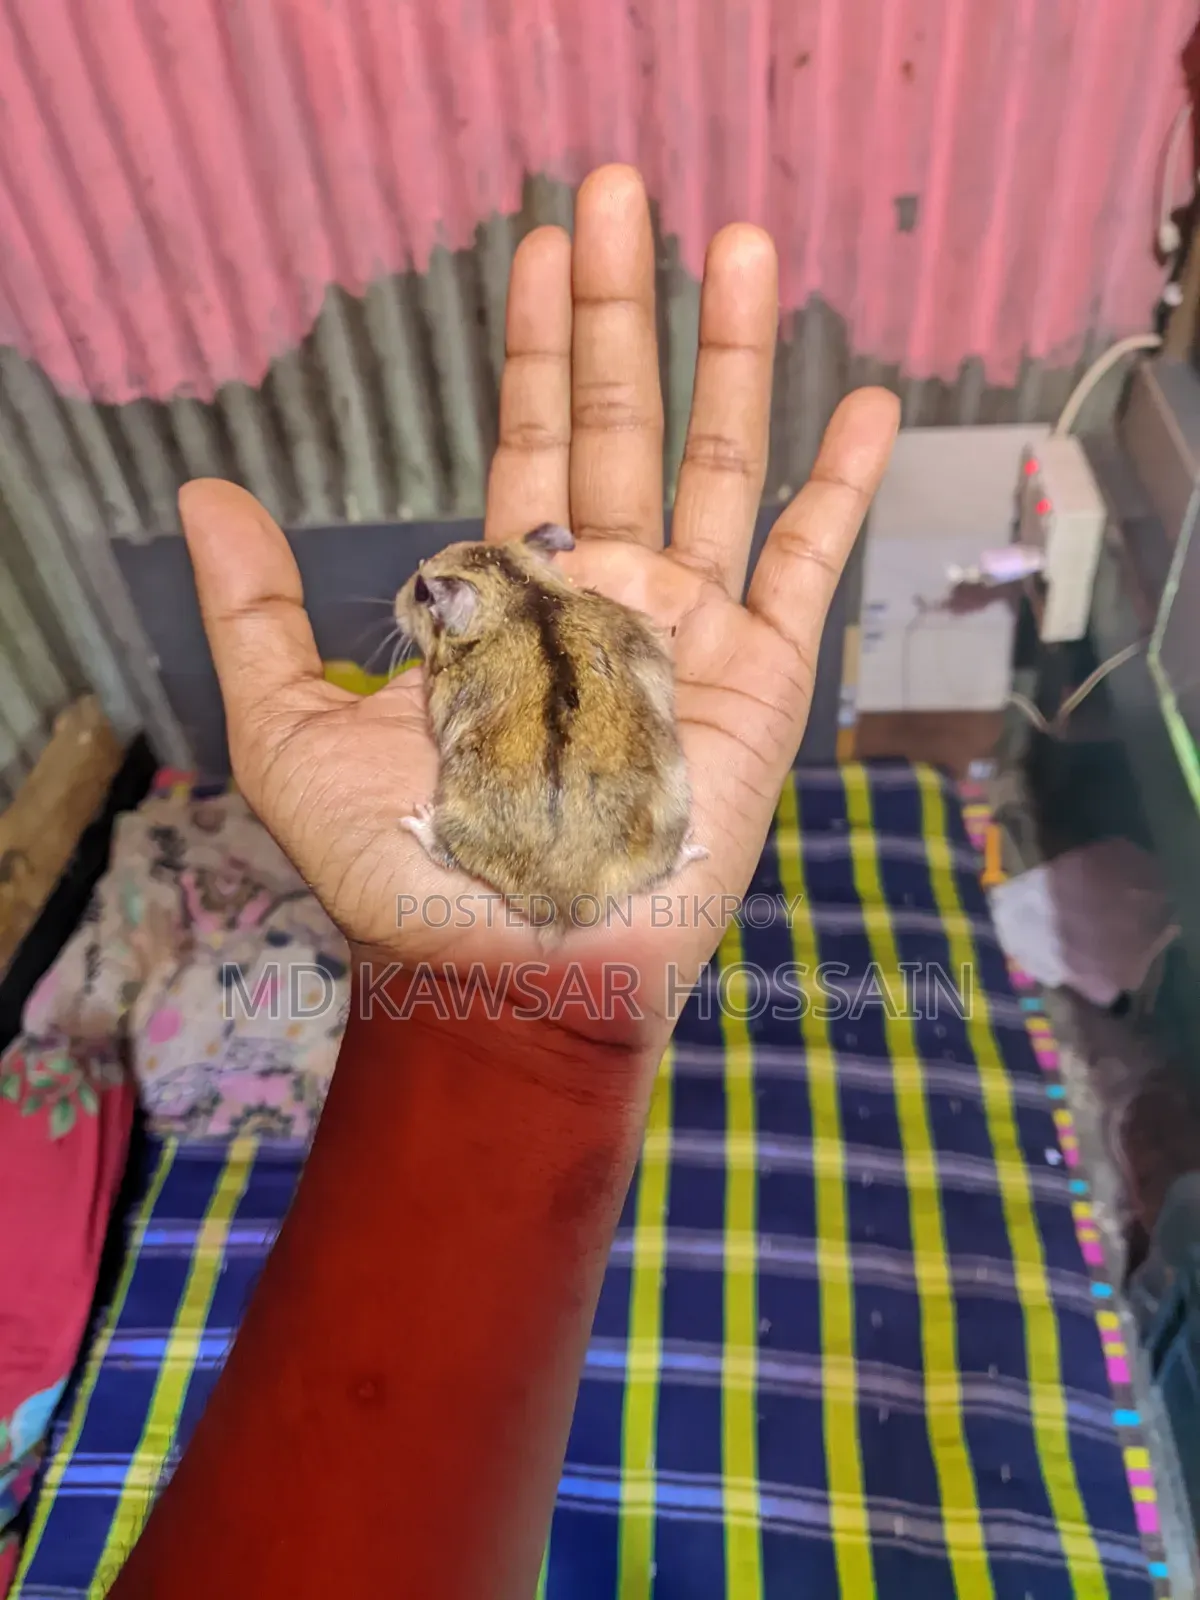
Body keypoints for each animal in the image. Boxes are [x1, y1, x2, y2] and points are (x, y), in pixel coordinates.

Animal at [393, 522, 706, 929]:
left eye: (421, 591)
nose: (397, 601)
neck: (520, 593)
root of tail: (564, 899)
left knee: (445, 853)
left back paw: (418, 818)